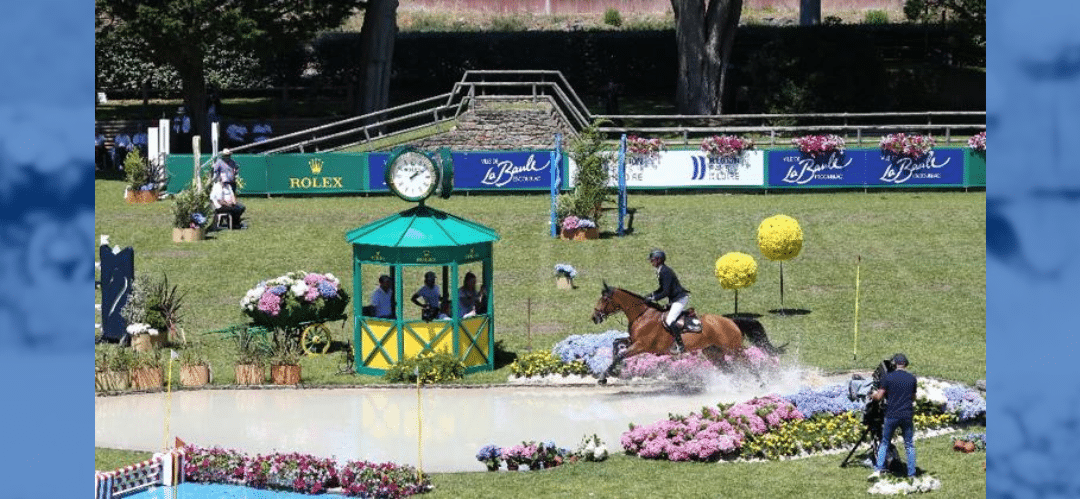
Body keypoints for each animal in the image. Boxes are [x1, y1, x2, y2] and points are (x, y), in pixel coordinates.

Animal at [591, 282, 786, 384]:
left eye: (604, 299)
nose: (594, 317)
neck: (642, 314)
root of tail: (730, 320)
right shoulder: (633, 341)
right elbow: (616, 344)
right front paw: (609, 372)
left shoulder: (641, 346)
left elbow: (620, 354)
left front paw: (604, 377)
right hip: (713, 353)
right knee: (729, 369)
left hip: (734, 349)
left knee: (749, 364)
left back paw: (760, 385)